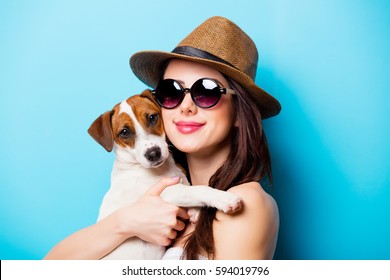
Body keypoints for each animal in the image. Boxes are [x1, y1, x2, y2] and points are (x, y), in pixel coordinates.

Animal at [87, 91, 242, 260]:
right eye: (124, 132)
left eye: (152, 117)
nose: (153, 153)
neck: (163, 168)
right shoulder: (163, 193)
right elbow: (197, 189)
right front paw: (224, 199)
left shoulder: (179, 181)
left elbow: (189, 187)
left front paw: (195, 210)